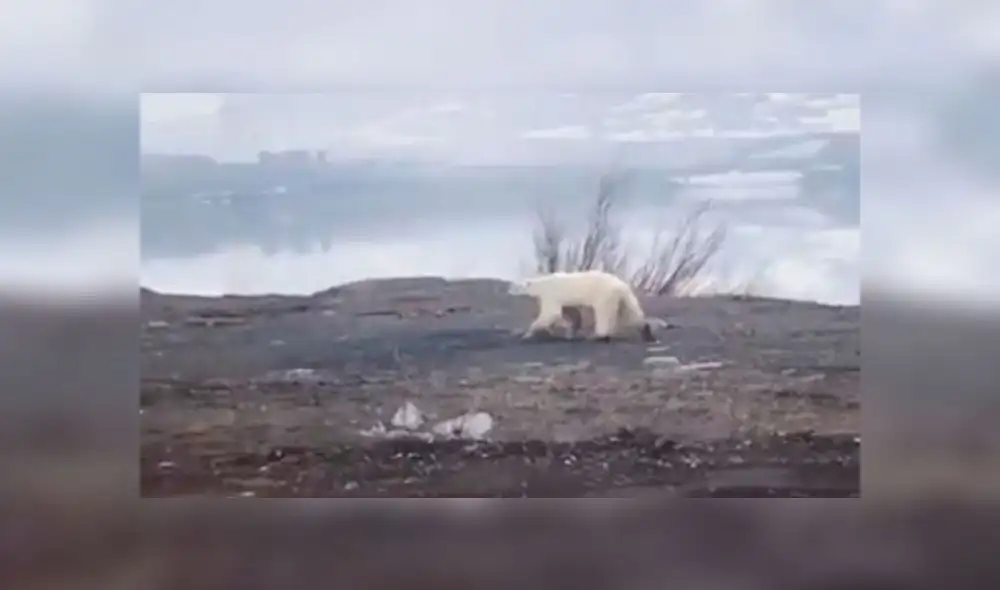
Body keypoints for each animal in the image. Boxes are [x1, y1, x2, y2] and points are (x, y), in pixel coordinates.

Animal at [508, 270, 657, 343]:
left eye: (515, 286)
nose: (508, 290)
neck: (541, 284)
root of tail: (621, 285)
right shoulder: (564, 300)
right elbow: (571, 313)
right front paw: (569, 332)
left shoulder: (551, 295)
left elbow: (551, 312)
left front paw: (527, 334)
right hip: (623, 297)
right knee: (632, 312)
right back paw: (647, 332)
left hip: (604, 295)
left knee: (603, 314)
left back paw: (598, 336)